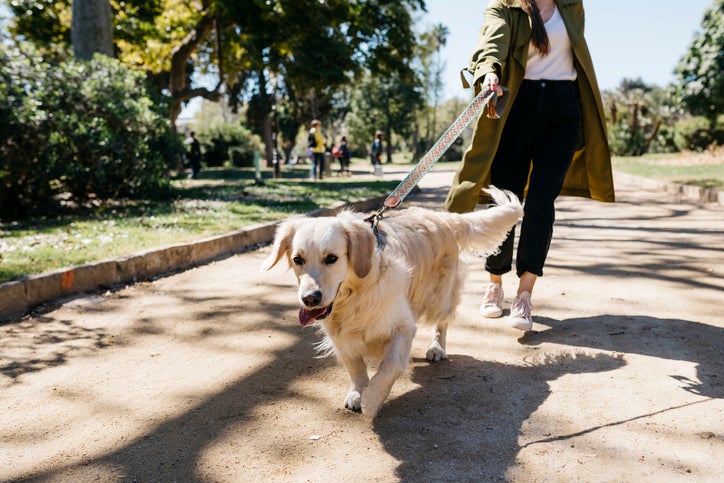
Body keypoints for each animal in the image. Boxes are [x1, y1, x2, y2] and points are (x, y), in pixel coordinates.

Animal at [260, 187, 520, 418]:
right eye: (297, 260)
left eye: (331, 258)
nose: (310, 299)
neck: (356, 294)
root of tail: (443, 217)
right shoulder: (340, 336)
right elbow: (356, 367)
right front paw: (357, 392)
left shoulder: (402, 326)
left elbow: (390, 365)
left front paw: (373, 398)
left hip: (440, 296)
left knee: (442, 323)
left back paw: (437, 348)